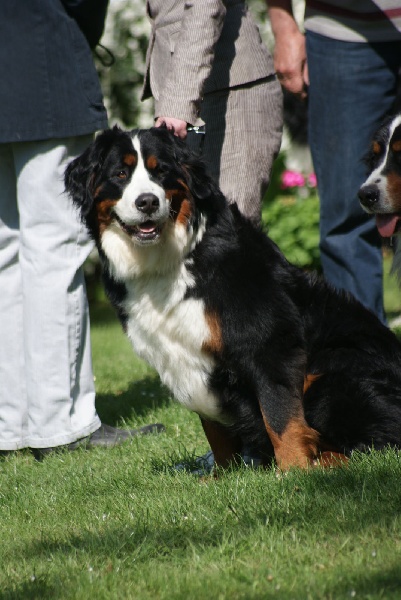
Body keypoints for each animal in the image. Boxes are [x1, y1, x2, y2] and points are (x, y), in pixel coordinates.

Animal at [64, 126, 400, 472]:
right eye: (120, 173)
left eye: (161, 172)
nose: (147, 202)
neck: (169, 261)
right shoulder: (184, 358)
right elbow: (216, 431)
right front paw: (221, 474)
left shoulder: (268, 343)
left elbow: (280, 416)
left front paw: (295, 471)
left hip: (331, 376)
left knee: (375, 445)